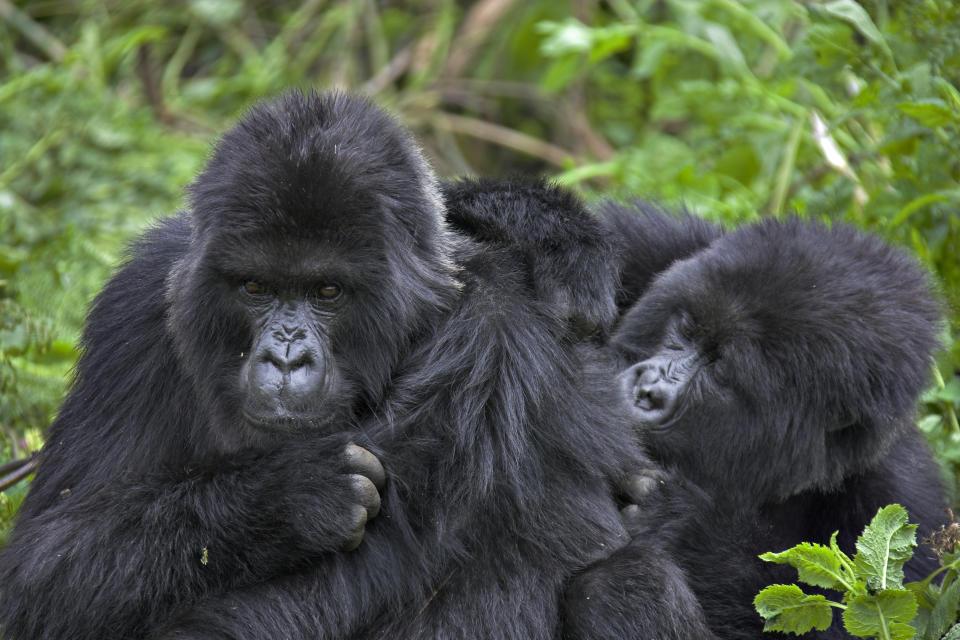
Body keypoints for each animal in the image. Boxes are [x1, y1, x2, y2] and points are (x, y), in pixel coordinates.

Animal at [0, 90, 712, 640]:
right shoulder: (136, 309)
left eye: (327, 292)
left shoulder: (490, 331)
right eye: (255, 288)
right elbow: (39, 573)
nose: (286, 357)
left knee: (624, 579)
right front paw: (283, 497)